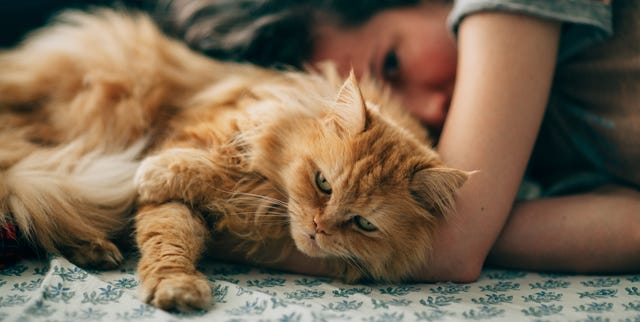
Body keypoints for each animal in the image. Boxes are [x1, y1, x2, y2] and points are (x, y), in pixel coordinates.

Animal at [0, 8, 468, 310]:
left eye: (364, 224)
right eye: (323, 183)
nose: (319, 228)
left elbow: (185, 222)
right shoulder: (195, 145)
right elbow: (172, 227)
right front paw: (175, 284)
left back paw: (93, 251)